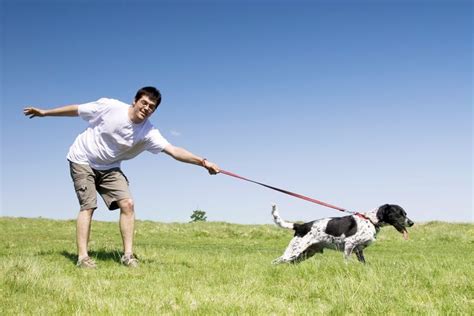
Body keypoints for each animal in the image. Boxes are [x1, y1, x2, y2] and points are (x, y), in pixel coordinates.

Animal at [272, 204, 412, 262]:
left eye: (405, 213)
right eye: (399, 213)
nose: (411, 223)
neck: (370, 220)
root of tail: (300, 226)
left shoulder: (359, 250)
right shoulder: (349, 245)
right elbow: (347, 262)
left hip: (305, 254)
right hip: (293, 252)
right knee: (276, 261)